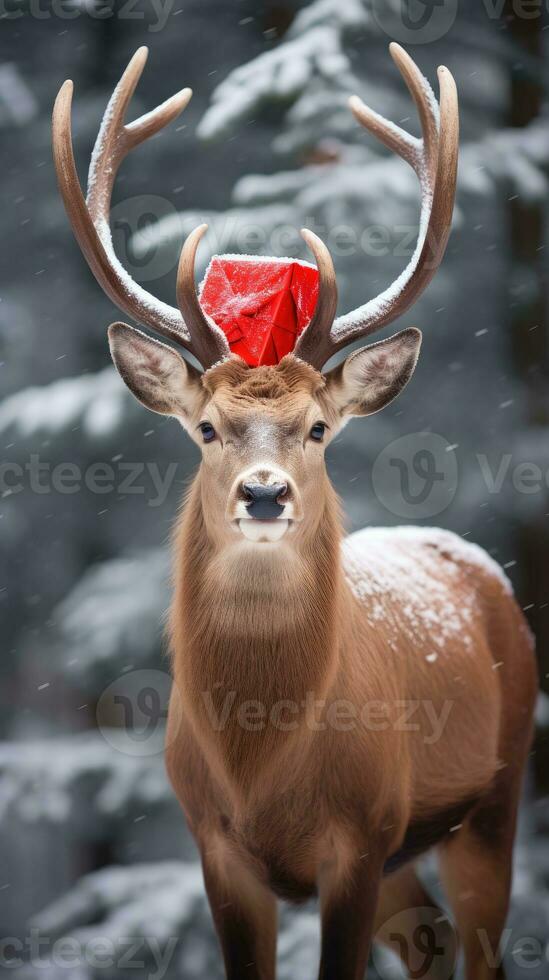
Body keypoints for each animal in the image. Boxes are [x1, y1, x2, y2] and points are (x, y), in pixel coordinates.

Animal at [54, 44, 536, 980]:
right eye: (207, 427)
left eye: (317, 427)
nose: (265, 492)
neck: (261, 762)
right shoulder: (215, 844)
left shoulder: (360, 833)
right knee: (429, 945)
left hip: (493, 798)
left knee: (479, 946)